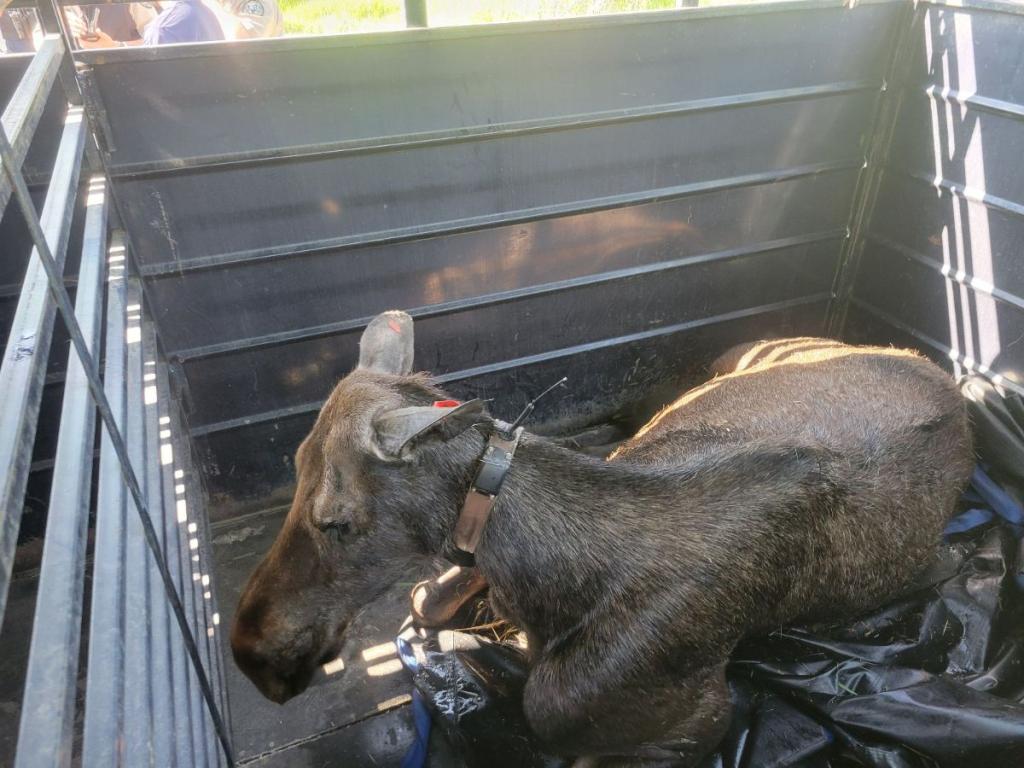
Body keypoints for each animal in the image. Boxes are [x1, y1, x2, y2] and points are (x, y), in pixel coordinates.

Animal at [231, 310, 973, 766]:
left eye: (338, 520)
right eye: (294, 465)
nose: (250, 650)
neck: (544, 584)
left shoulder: (700, 716)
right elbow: (430, 596)